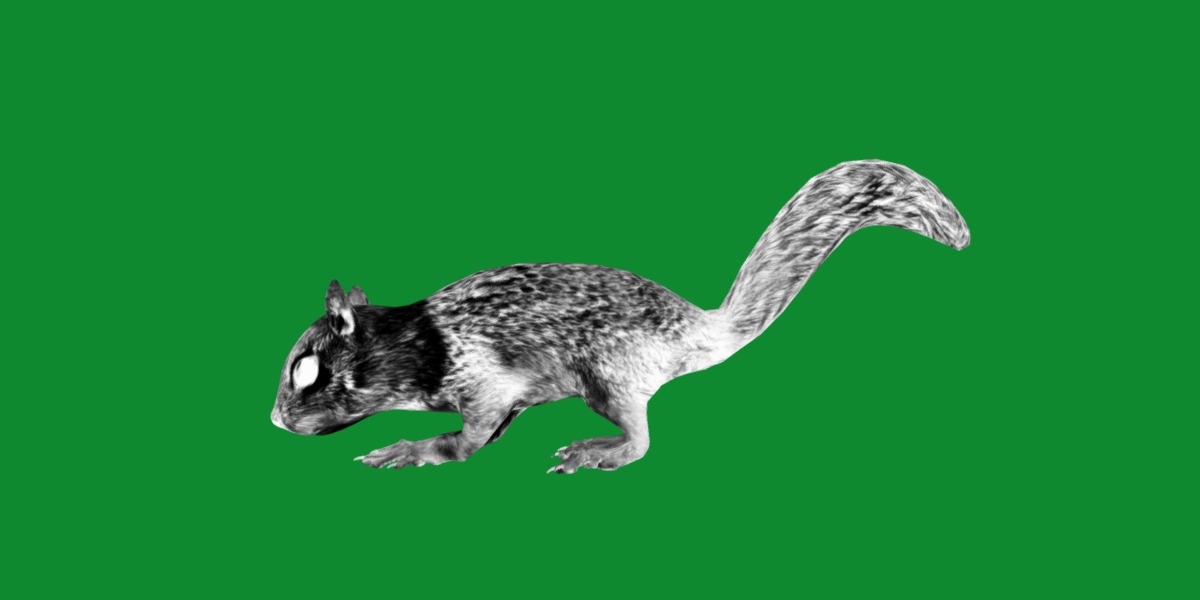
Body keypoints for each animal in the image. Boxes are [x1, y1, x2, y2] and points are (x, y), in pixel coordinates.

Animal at [271, 160, 970, 473]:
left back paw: (596, 452)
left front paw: (411, 449)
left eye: (308, 371)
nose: (276, 421)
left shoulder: (485, 384)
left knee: (641, 442)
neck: (419, 340)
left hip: (605, 377)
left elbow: (466, 441)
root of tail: (697, 328)